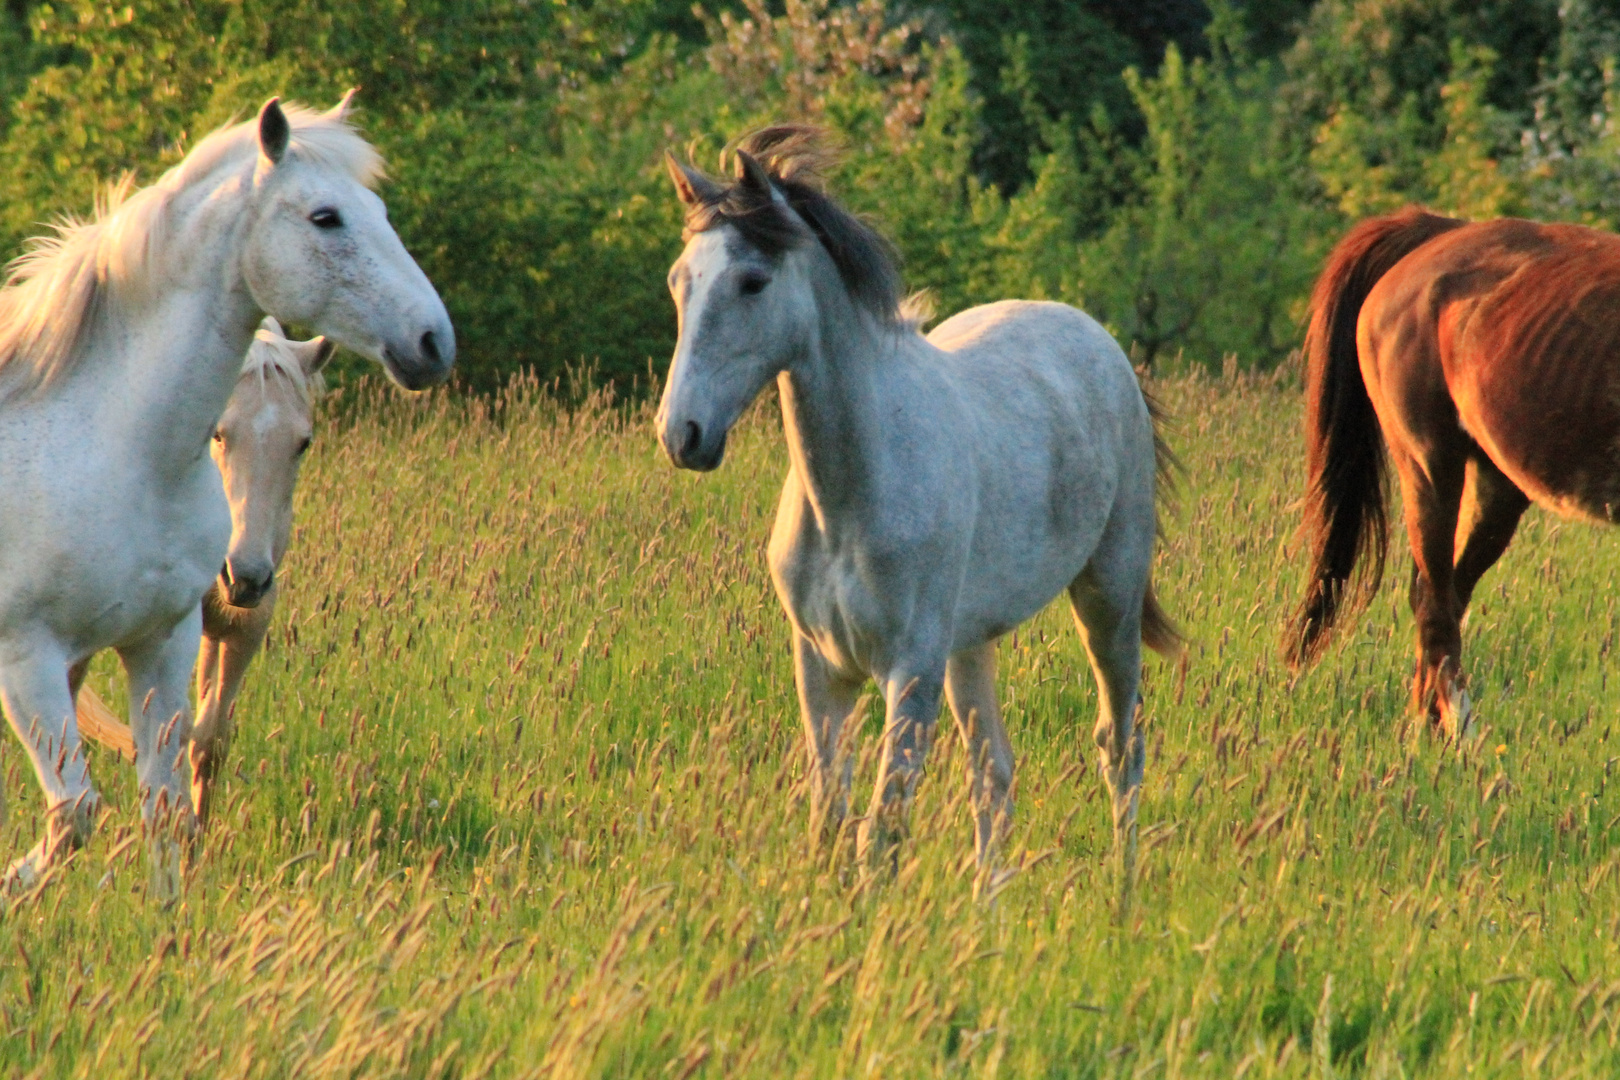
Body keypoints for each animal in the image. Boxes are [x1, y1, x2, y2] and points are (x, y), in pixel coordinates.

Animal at [1289, 204, 1620, 735]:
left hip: (1495, 485)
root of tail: (1440, 230)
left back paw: (1426, 730)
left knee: (1443, 594)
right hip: (1429, 465)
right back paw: (1461, 734)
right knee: (1435, 603)